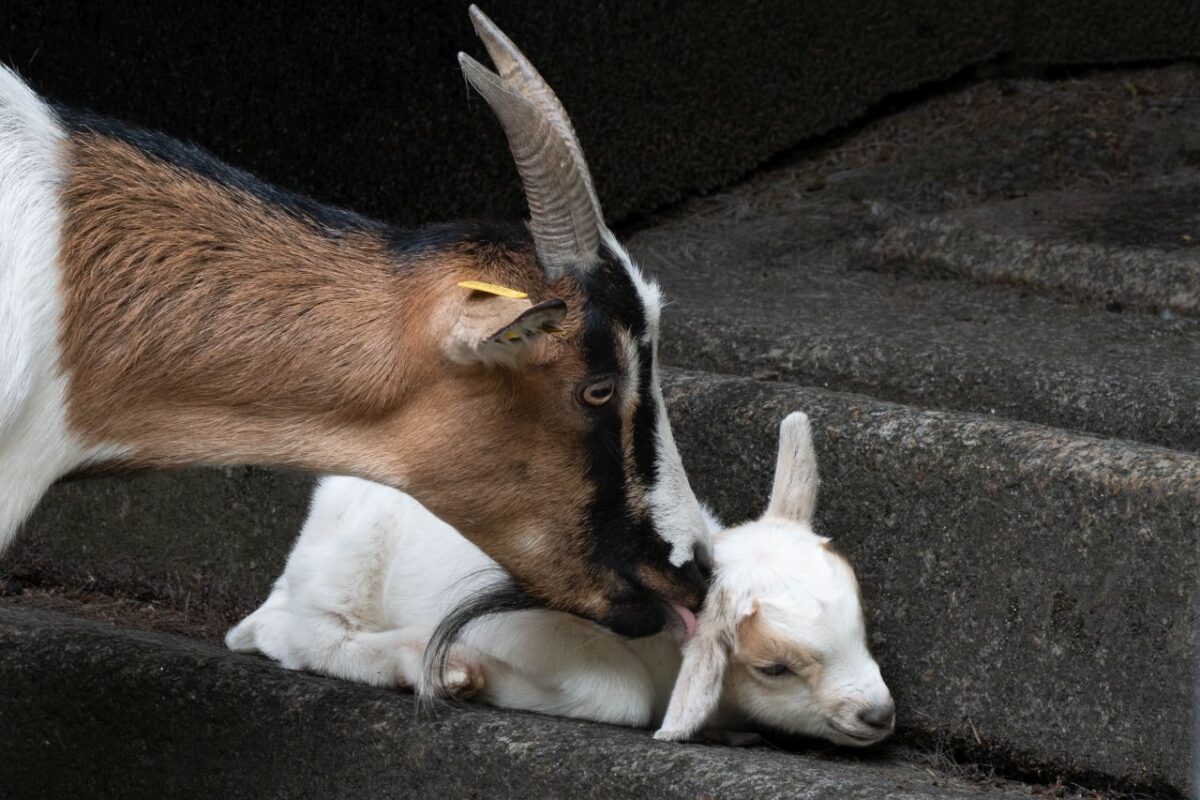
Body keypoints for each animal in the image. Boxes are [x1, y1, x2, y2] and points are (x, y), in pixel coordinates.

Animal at [227, 412, 895, 745]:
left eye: (861, 629)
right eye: (774, 668)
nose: (879, 715)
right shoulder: (519, 623)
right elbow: (619, 695)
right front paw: (478, 679)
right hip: (352, 558)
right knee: (304, 635)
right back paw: (439, 667)